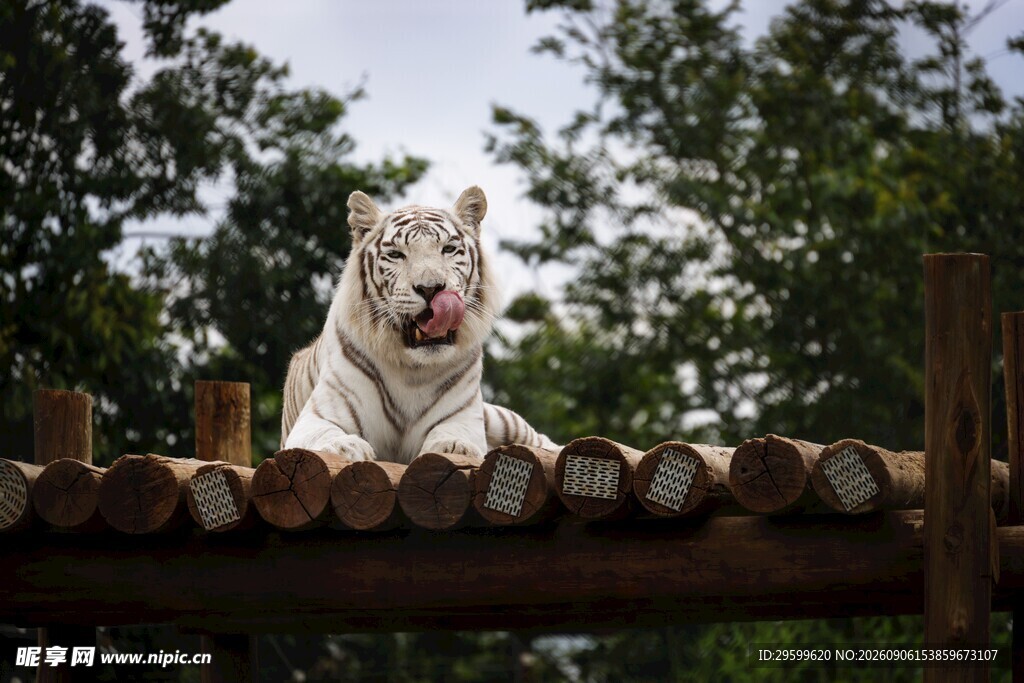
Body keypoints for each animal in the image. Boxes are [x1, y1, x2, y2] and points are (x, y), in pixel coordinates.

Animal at [280, 185, 559, 464]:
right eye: (396, 254)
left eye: (448, 249)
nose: (430, 288)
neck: (412, 371)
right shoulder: (318, 415)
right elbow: (325, 436)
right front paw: (345, 447)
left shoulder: (464, 416)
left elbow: (453, 435)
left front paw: (453, 447)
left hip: (498, 417)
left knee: (539, 438)